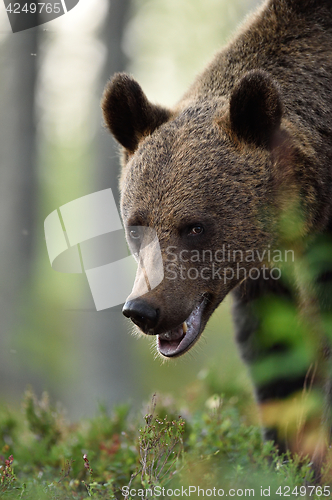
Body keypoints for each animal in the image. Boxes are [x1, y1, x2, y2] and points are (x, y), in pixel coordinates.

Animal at [102, 0, 332, 478]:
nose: (143, 309)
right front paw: (287, 459)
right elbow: (271, 351)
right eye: (136, 225)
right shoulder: (264, 272)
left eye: (194, 226)